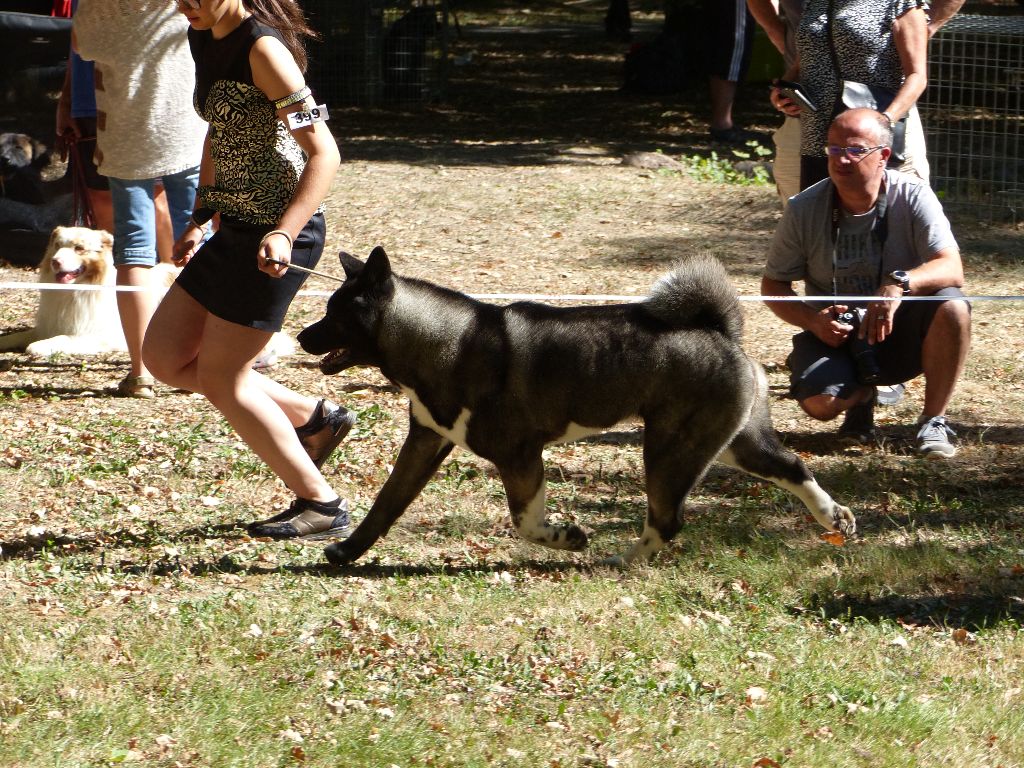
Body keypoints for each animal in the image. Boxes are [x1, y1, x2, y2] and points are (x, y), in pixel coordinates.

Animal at [0, 225, 294, 366]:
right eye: (58, 246)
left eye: (79, 248)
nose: (56, 262)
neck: (80, 289)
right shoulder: (48, 324)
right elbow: (21, 335)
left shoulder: (97, 335)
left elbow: (59, 339)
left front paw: (37, 348)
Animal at [298, 247, 856, 567]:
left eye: (334, 313)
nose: (302, 335)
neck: (443, 341)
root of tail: (718, 328)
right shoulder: (425, 442)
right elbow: (387, 504)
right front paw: (347, 551)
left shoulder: (520, 456)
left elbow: (525, 522)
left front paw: (568, 537)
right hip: (734, 443)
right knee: (793, 467)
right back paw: (836, 519)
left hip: (670, 450)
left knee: (667, 519)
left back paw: (623, 562)